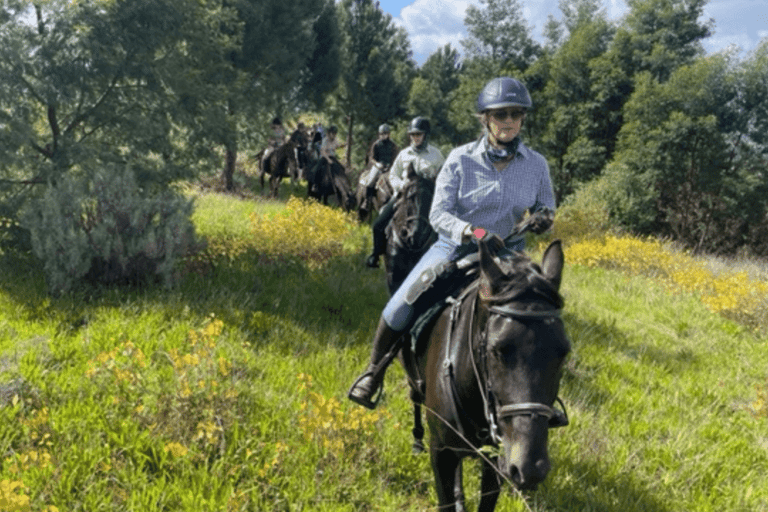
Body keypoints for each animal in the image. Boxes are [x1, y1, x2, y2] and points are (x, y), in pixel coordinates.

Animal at [396, 234, 568, 510]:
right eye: (497, 350)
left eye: (564, 352)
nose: (531, 469)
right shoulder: (440, 452)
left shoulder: (498, 460)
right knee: (415, 401)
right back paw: (415, 441)